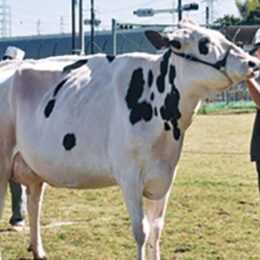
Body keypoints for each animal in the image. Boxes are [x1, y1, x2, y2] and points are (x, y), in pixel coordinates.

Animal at [0, 19, 260, 260]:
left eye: (220, 36)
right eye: (204, 43)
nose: (252, 62)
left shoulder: (165, 175)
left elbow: (156, 228)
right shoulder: (130, 176)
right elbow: (141, 230)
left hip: (33, 167)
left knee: (34, 204)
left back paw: (39, 250)